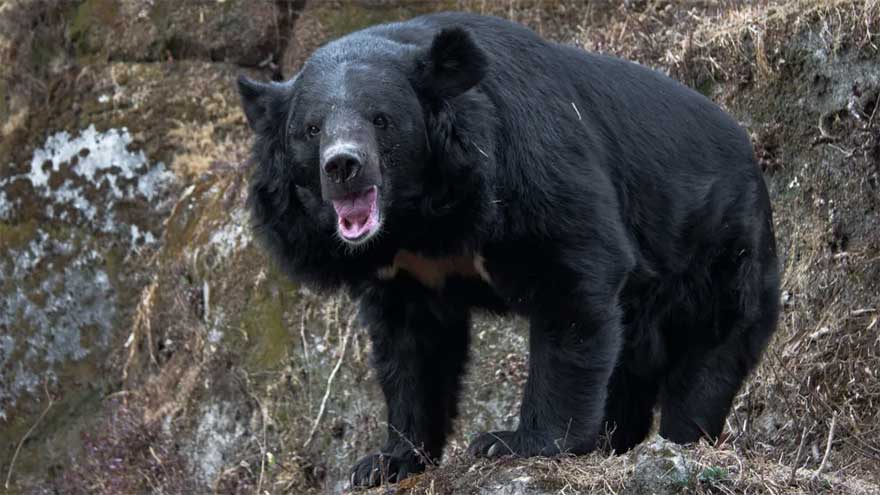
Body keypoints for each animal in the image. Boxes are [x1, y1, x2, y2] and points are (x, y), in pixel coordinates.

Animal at [237, 11, 780, 489]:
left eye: (381, 119)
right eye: (311, 129)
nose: (343, 166)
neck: (416, 219)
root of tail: (750, 155)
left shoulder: (525, 166)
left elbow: (575, 277)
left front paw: (516, 443)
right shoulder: (404, 273)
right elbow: (411, 351)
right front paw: (386, 461)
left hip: (719, 253)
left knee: (705, 360)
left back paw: (679, 439)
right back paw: (611, 441)